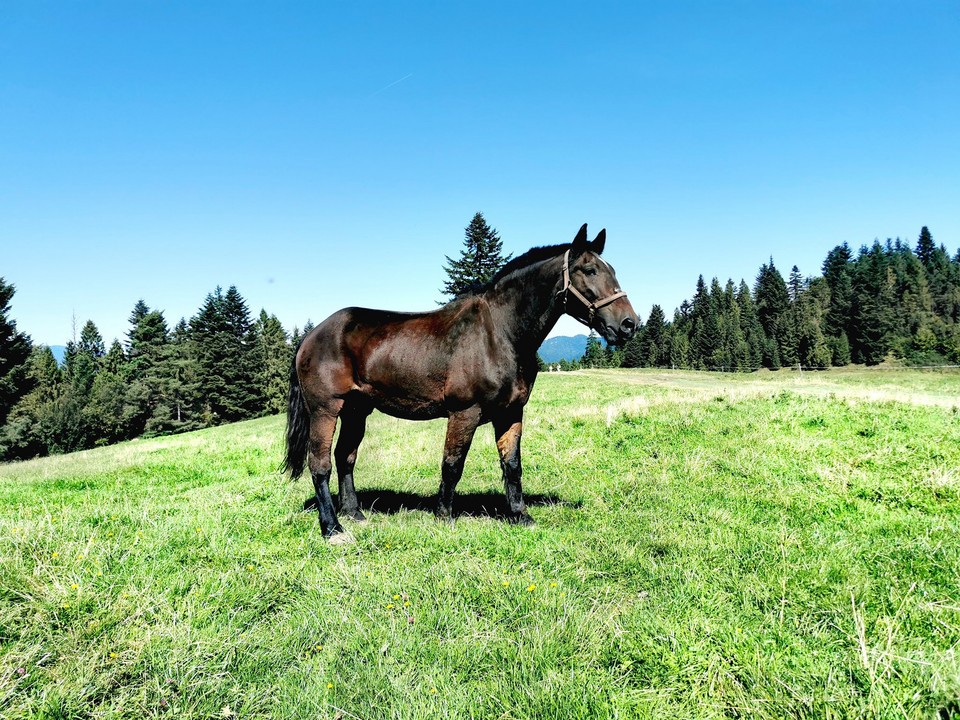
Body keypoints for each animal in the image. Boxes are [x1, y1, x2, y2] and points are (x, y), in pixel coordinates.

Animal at [284, 222, 636, 536]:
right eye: (589, 270)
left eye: (612, 270)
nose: (629, 324)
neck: (499, 334)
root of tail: (310, 337)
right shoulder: (464, 412)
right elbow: (452, 464)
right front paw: (444, 515)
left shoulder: (511, 413)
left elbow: (512, 465)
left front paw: (520, 515)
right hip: (325, 410)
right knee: (320, 464)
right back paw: (332, 527)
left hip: (357, 410)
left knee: (346, 458)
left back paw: (354, 512)